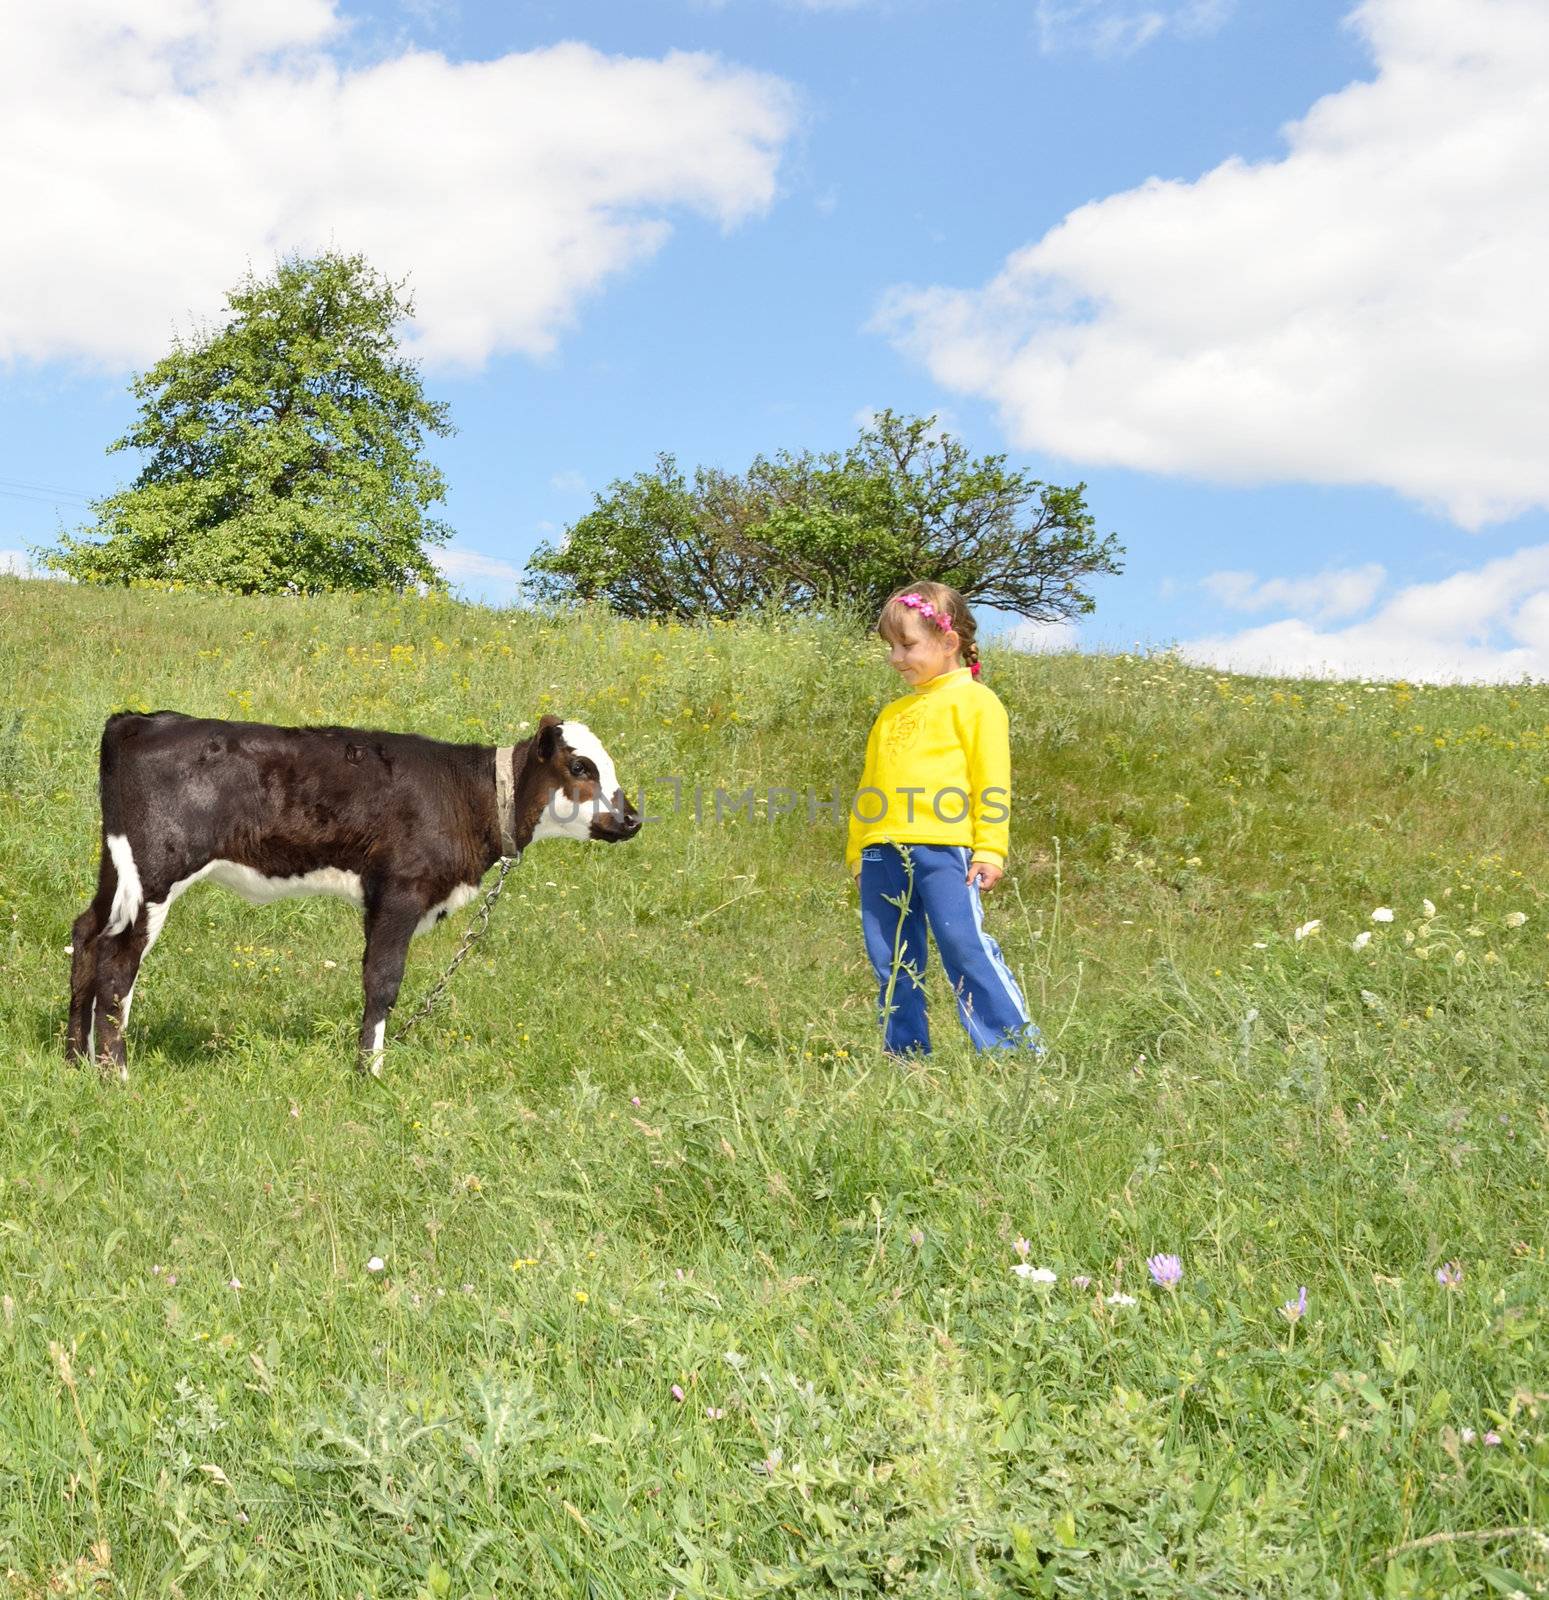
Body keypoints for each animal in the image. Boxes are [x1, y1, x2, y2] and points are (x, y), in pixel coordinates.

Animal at [66, 710, 640, 1075]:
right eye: (581, 766)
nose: (633, 819)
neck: (467, 795)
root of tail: (140, 719)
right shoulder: (400, 891)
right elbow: (383, 983)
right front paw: (370, 1072)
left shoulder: (376, 897)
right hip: (155, 874)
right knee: (118, 961)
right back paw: (115, 1074)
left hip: (116, 870)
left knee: (87, 936)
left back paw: (75, 1059)